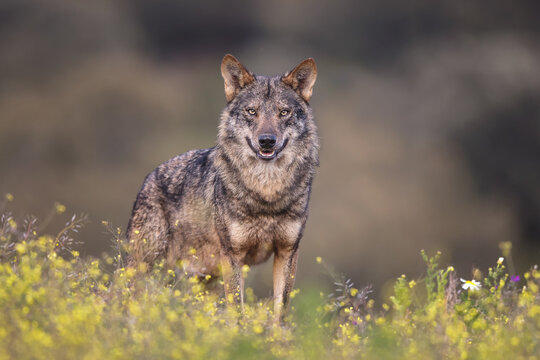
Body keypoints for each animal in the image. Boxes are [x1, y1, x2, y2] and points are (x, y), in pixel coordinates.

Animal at [125, 54, 320, 320]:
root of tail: (150, 176)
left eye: (284, 112)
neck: (266, 193)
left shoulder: (287, 251)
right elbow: (237, 310)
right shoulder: (233, 255)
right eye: (251, 111)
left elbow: (280, 311)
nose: (266, 141)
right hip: (146, 268)